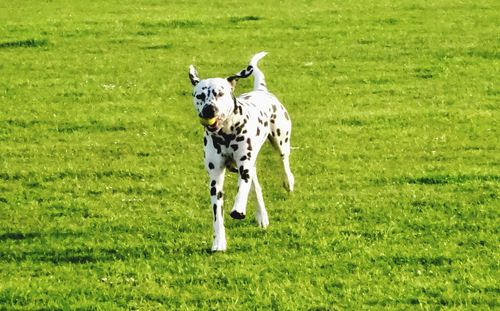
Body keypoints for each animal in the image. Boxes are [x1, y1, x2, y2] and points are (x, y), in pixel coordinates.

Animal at [189, 51, 294, 251]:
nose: (209, 109)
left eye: (220, 93)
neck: (226, 133)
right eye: (200, 96)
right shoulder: (215, 179)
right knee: (257, 187)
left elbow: (242, 190)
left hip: (280, 139)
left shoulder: (244, 166)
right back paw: (262, 216)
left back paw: (288, 181)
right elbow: (218, 215)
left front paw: (238, 209)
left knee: (283, 160)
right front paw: (219, 242)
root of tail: (261, 90)